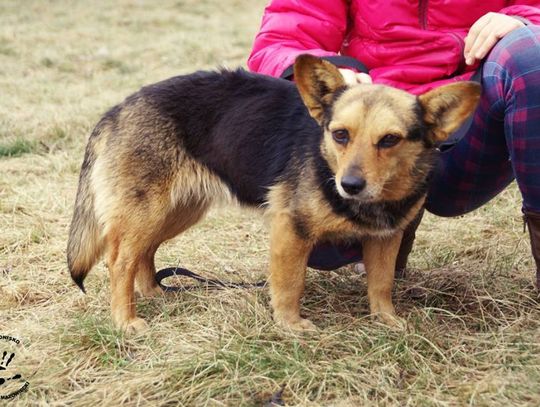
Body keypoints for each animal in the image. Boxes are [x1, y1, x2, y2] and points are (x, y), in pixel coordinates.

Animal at [68, 55, 480, 334]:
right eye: (340, 134)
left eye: (390, 140)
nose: (349, 185)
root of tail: (115, 111)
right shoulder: (290, 232)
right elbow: (289, 284)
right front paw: (290, 325)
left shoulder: (384, 239)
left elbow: (381, 284)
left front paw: (387, 320)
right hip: (149, 210)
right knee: (119, 261)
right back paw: (126, 319)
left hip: (177, 210)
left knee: (143, 252)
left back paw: (154, 292)